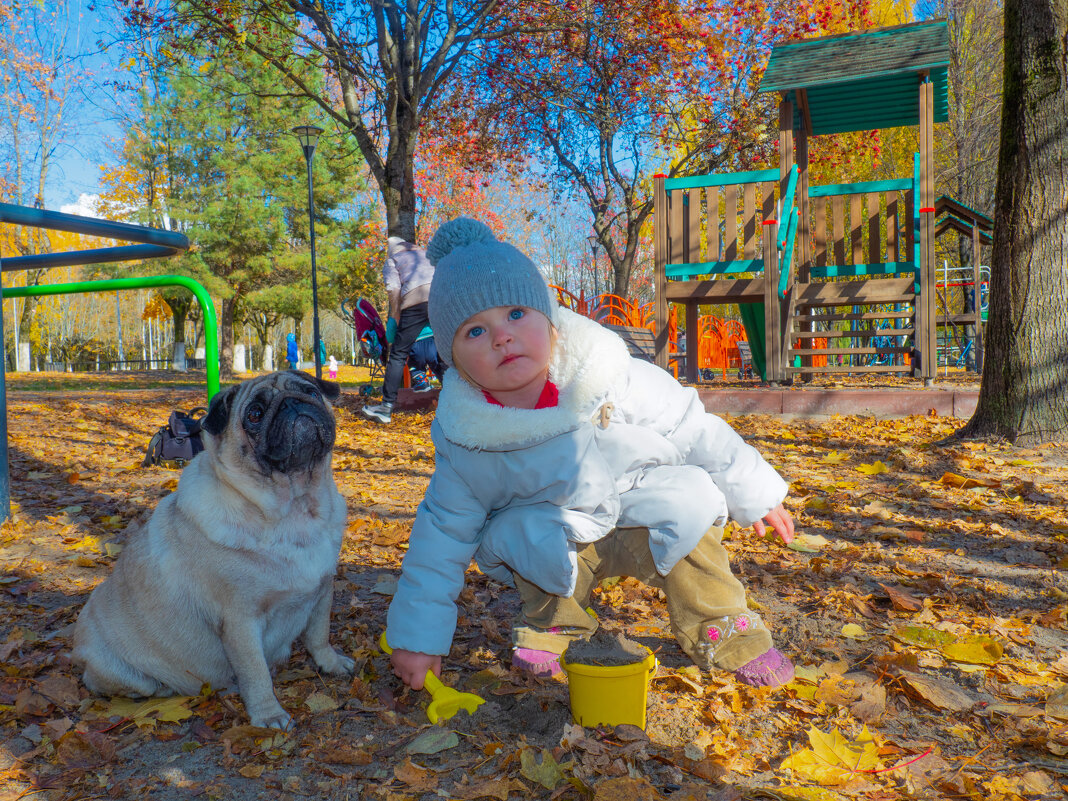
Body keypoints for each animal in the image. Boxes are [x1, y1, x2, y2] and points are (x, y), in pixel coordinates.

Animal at [72, 373, 354, 730]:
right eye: (255, 414)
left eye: (311, 392)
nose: (292, 403)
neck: (294, 508)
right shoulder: (240, 621)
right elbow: (255, 673)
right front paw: (268, 714)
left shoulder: (322, 590)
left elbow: (319, 635)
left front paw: (330, 663)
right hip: (121, 671)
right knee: (122, 684)